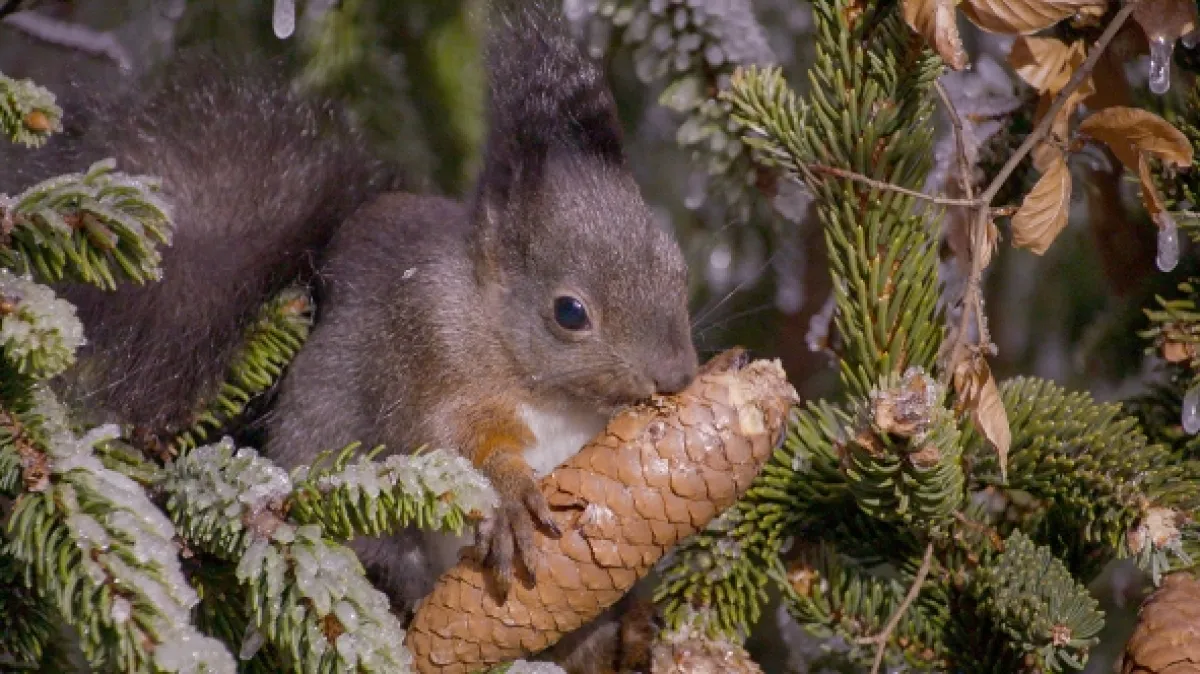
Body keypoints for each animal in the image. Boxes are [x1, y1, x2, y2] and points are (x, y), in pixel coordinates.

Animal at [1, 0, 698, 637]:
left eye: (678, 266)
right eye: (569, 313)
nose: (678, 376)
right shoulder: (428, 344)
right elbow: (449, 439)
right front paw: (509, 491)